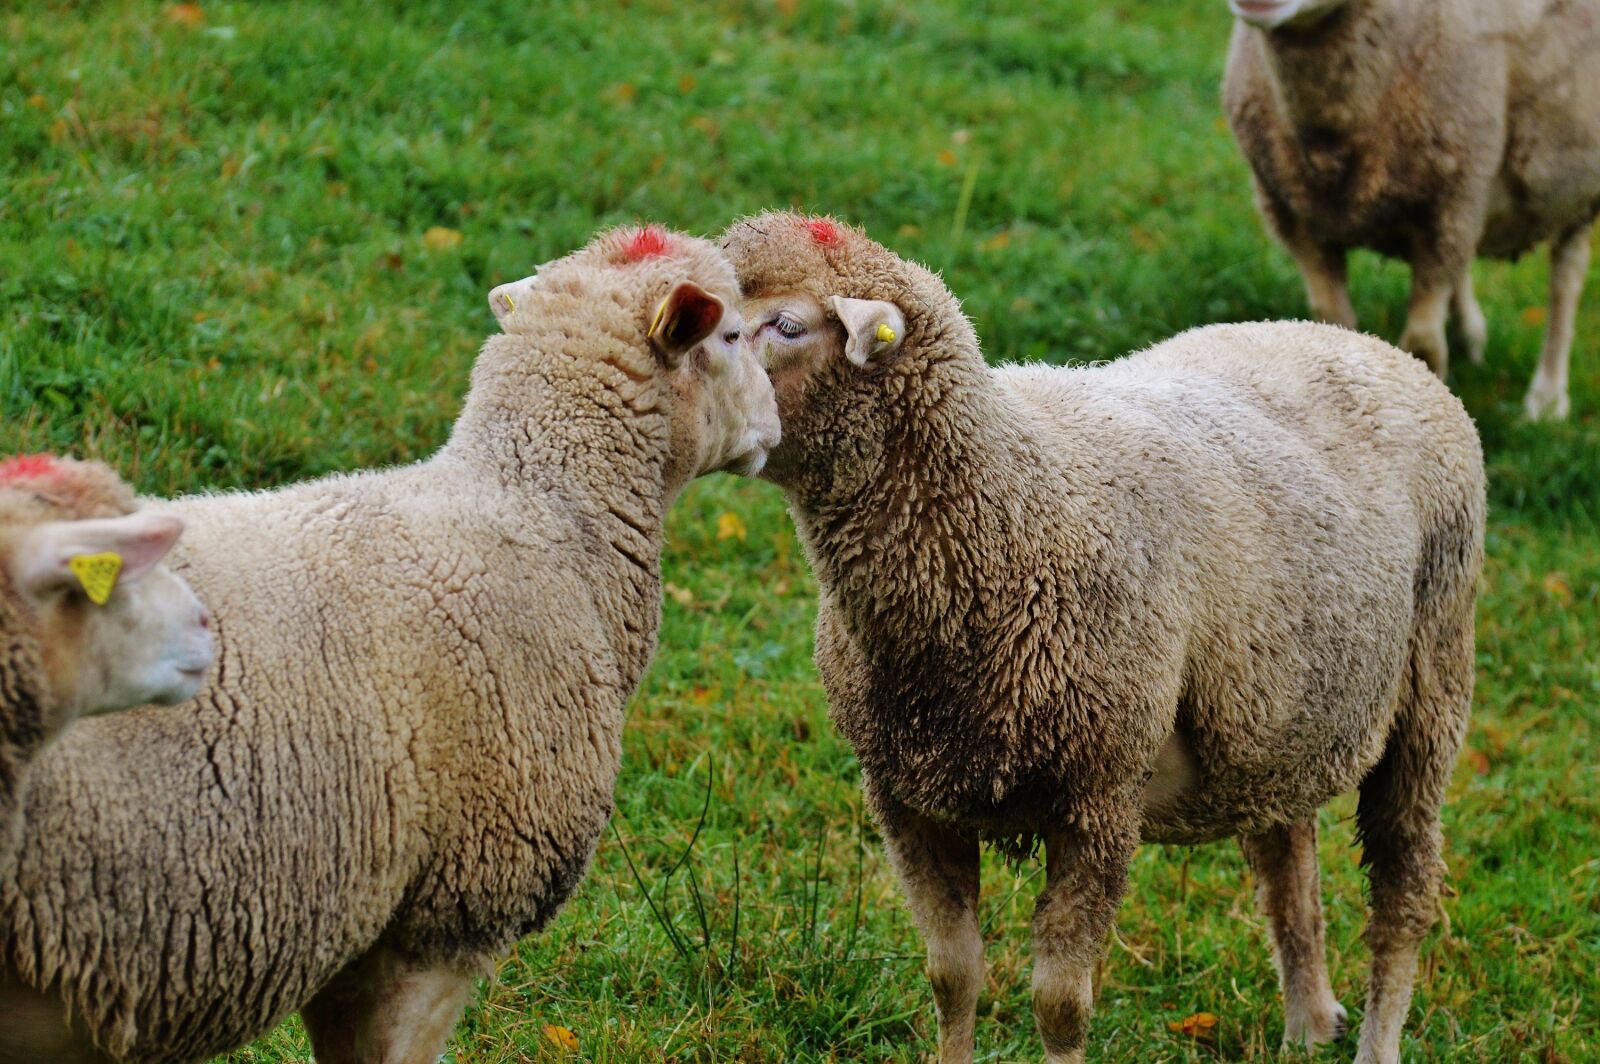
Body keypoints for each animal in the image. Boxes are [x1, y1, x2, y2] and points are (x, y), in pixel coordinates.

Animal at [720, 211, 1484, 1064]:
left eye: (787, 326)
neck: (1014, 508)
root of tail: (1364, 344)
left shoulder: (1099, 801)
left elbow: (1059, 1004)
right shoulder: (907, 796)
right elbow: (952, 975)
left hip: (1432, 682)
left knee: (1404, 891)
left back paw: (1374, 1038)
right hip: (1276, 712)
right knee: (1289, 865)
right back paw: (1308, 1026)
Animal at [1222, 0, 1600, 420]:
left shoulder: (1448, 205)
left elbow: (1423, 345)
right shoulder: (1296, 219)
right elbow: (1331, 321)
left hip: (1574, 187)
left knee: (1566, 276)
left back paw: (1547, 397)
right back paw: (1470, 335)